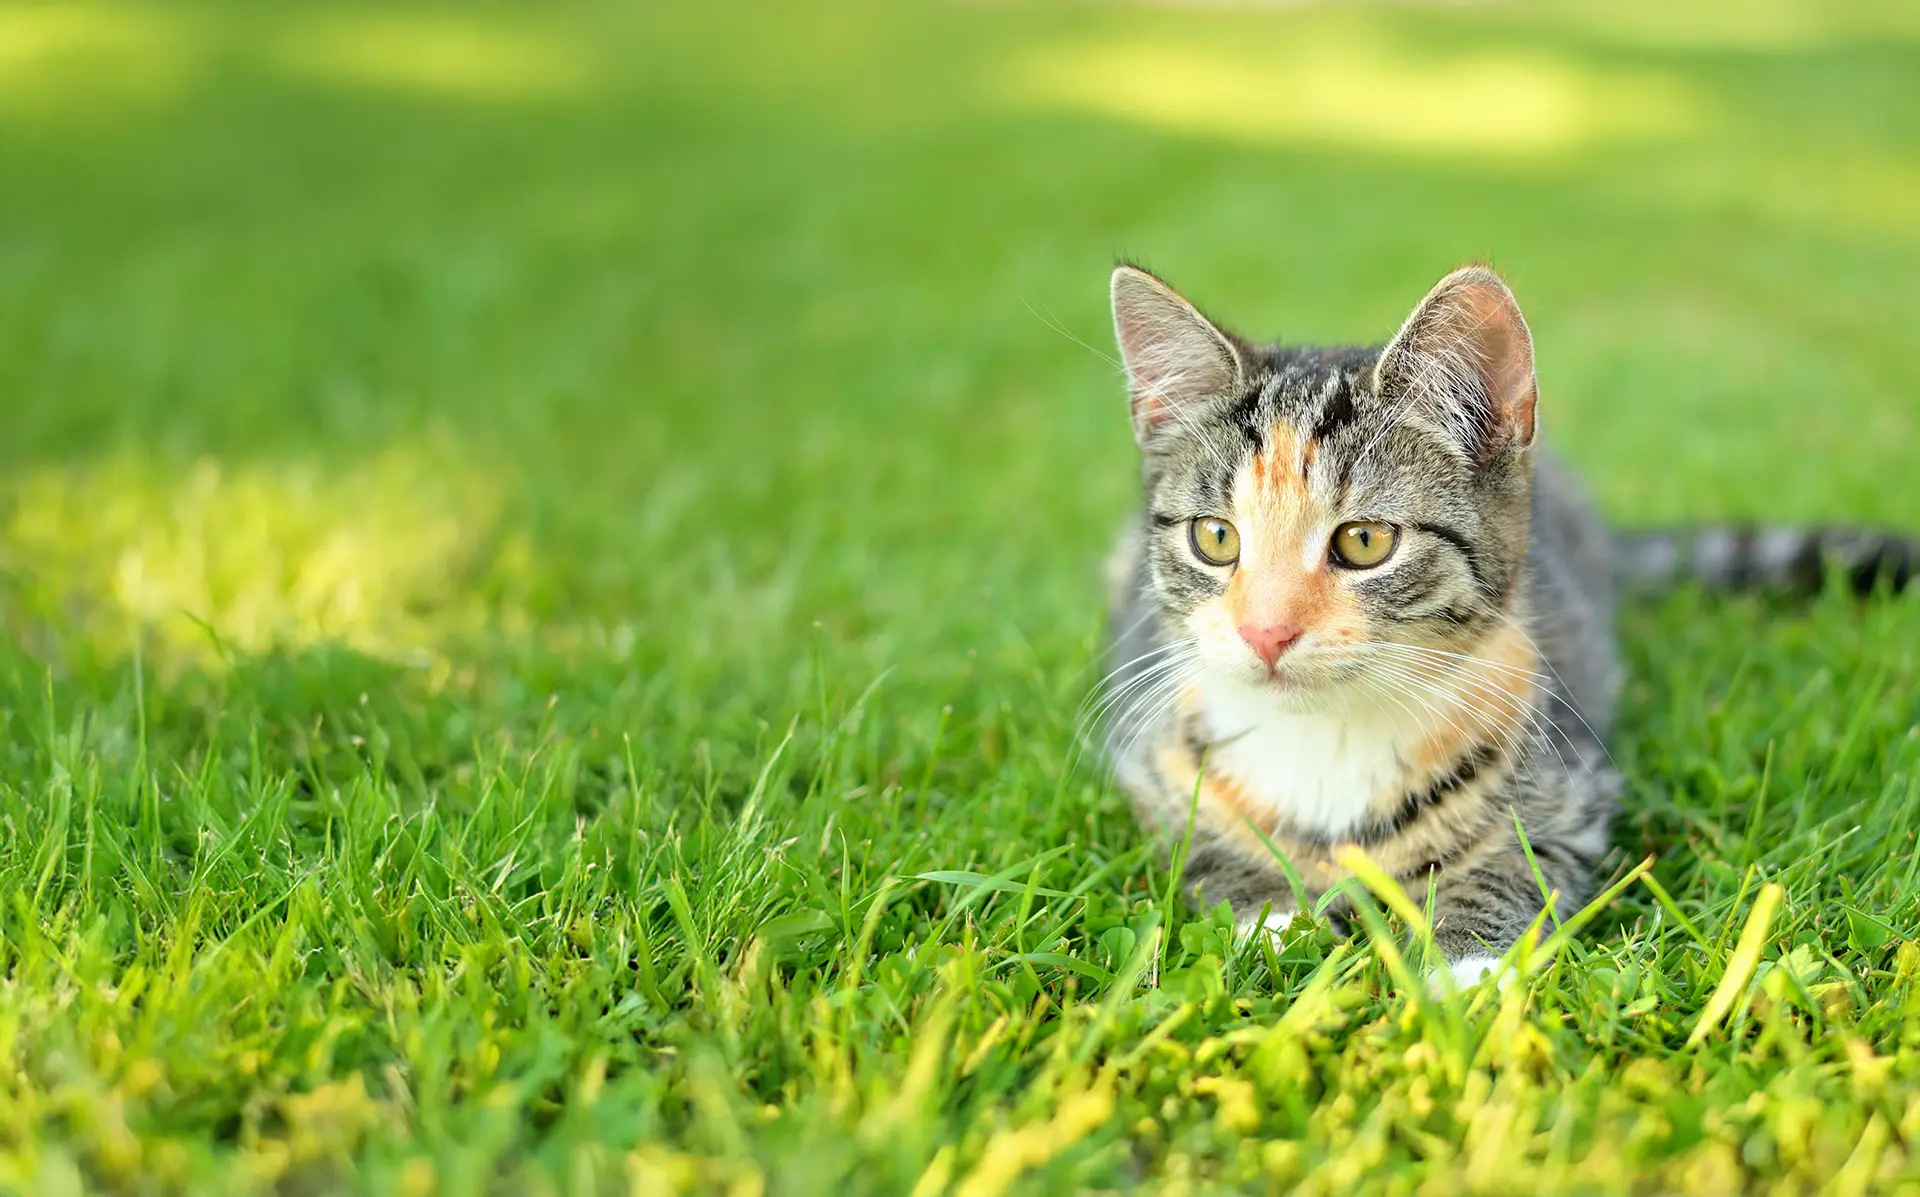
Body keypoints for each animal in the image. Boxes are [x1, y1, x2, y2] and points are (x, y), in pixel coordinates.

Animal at [1105, 267, 1912, 991]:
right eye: (1215, 537)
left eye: (1365, 541)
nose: (1265, 632)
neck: (1325, 734)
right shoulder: (1148, 749)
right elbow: (1194, 836)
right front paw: (1270, 919)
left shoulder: (1571, 780)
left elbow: (1517, 856)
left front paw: (1464, 964)